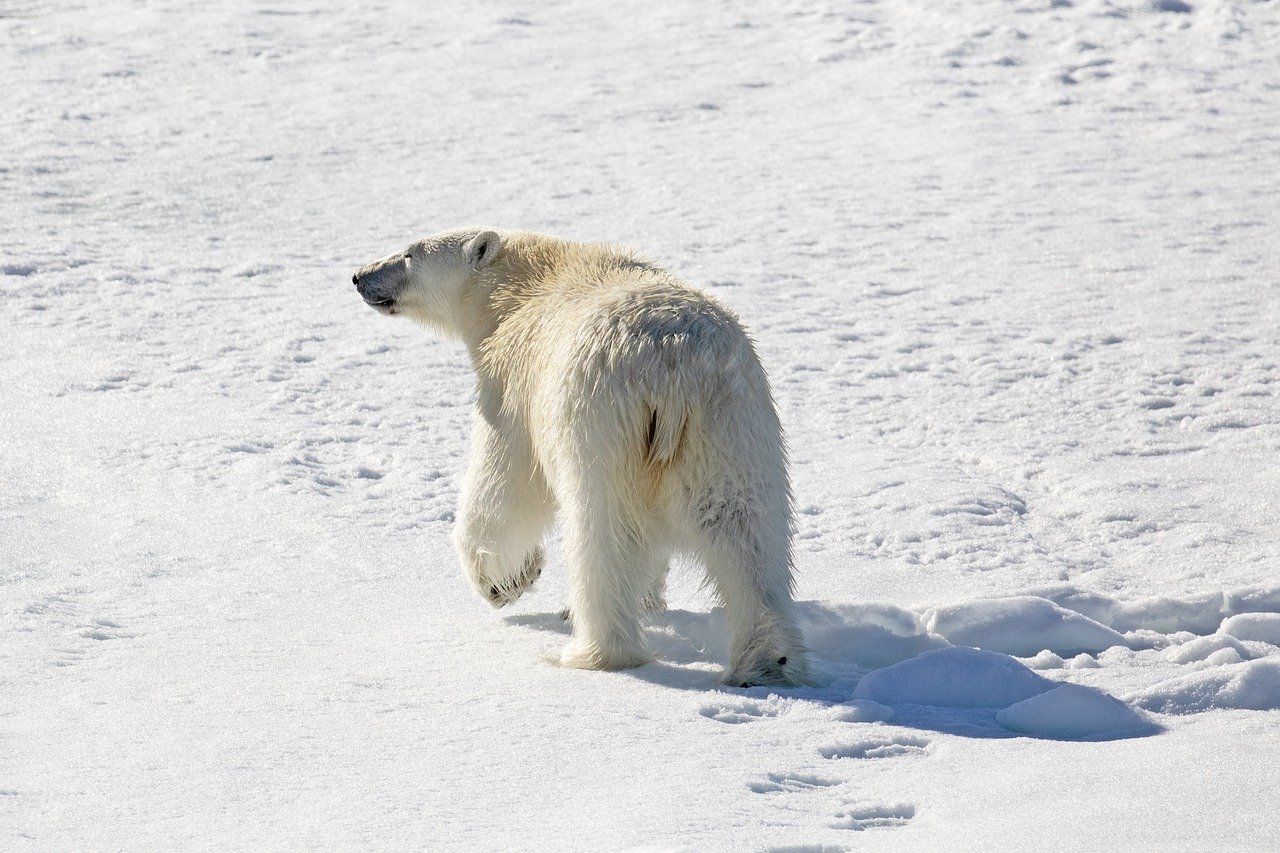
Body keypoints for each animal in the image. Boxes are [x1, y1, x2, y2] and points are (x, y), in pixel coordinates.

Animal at [352, 228, 808, 686]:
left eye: (408, 254)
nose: (359, 276)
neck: (524, 285)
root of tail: (672, 363)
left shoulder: (512, 385)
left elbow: (502, 485)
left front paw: (507, 581)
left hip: (601, 423)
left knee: (603, 535)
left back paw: (592, 650)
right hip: (730, 425)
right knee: (745, 530)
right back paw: (767, 661)